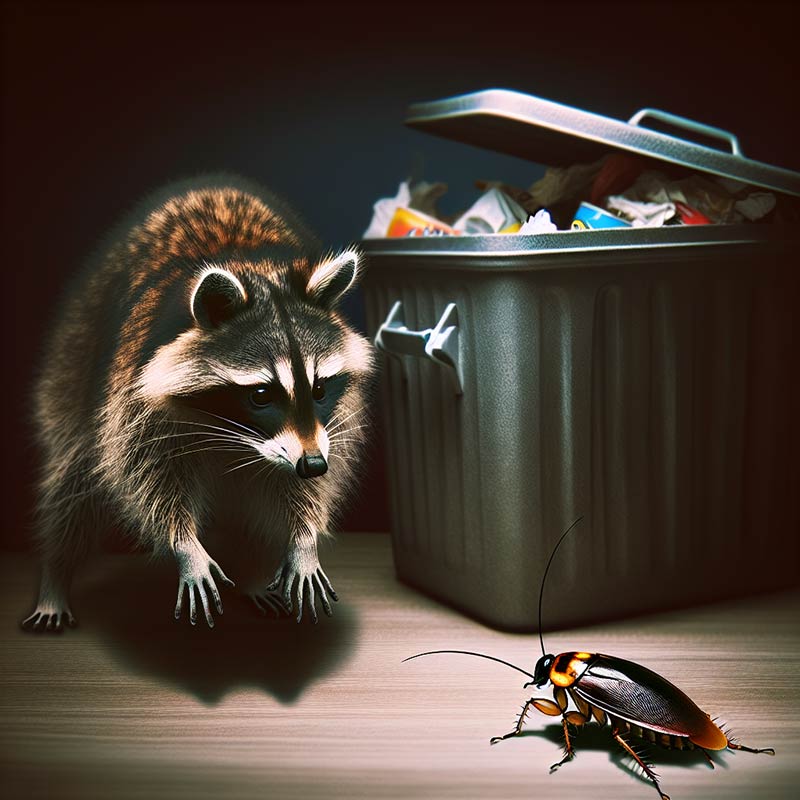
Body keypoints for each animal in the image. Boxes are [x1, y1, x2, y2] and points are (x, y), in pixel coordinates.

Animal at [22, 175, 374, 631]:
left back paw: (254, 573)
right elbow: (143, 477)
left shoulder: (333, 423)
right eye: (261, 394)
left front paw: (304, 538)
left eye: (319, 390)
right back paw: (55, 576)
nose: (312, 464)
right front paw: (184, 544)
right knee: (73, 480)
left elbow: (306, 487)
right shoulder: (132, 395)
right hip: (75, 359)